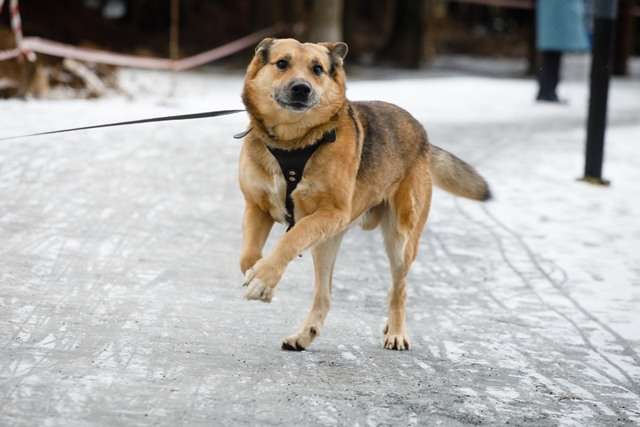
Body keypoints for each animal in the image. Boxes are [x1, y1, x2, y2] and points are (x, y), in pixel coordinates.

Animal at [238, 37, 488, 352]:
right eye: (282, 63)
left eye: (317, 69)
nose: (301, 88)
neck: (293, 143)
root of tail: (423, 135)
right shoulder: (256, 207)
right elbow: (247, 256)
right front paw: (262, 279)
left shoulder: (329, 212)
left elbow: (290, 240)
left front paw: (263, 279)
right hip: (327, 242)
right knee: (324, 296)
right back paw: (304, 335)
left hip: (400, 238)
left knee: (399, 290)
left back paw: (396, 332)